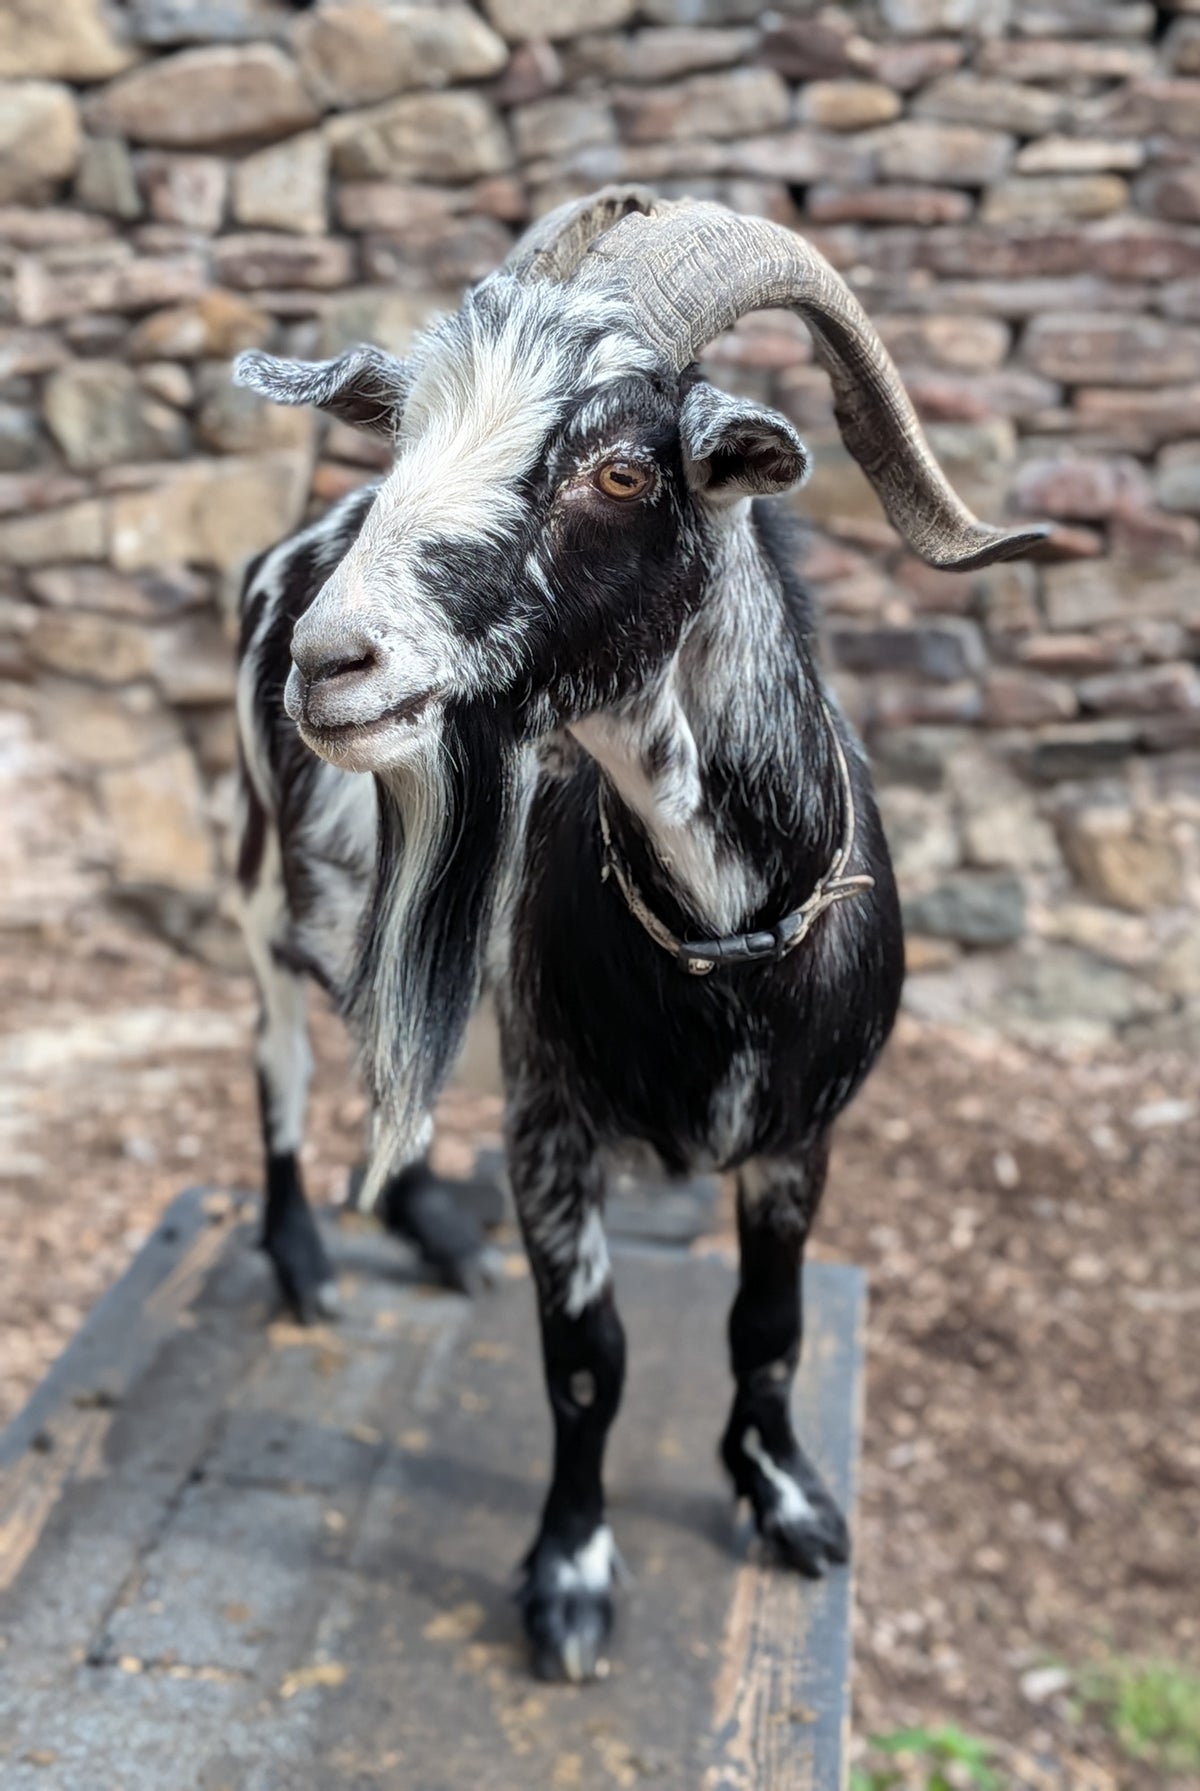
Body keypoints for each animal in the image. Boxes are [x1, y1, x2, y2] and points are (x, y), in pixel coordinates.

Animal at [232, 190, 1046, 1682]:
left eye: (617, 470)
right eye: (406, 433)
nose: (333, 661)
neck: (728, 952)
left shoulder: (802, 1134)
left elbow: (769, 1325)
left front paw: (786, 1498)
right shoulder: (553, 1123)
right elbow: (586, 1357)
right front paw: (569, 1577)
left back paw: (435, 1230)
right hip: (256, 871)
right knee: (278, 1053)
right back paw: (308, 1258)